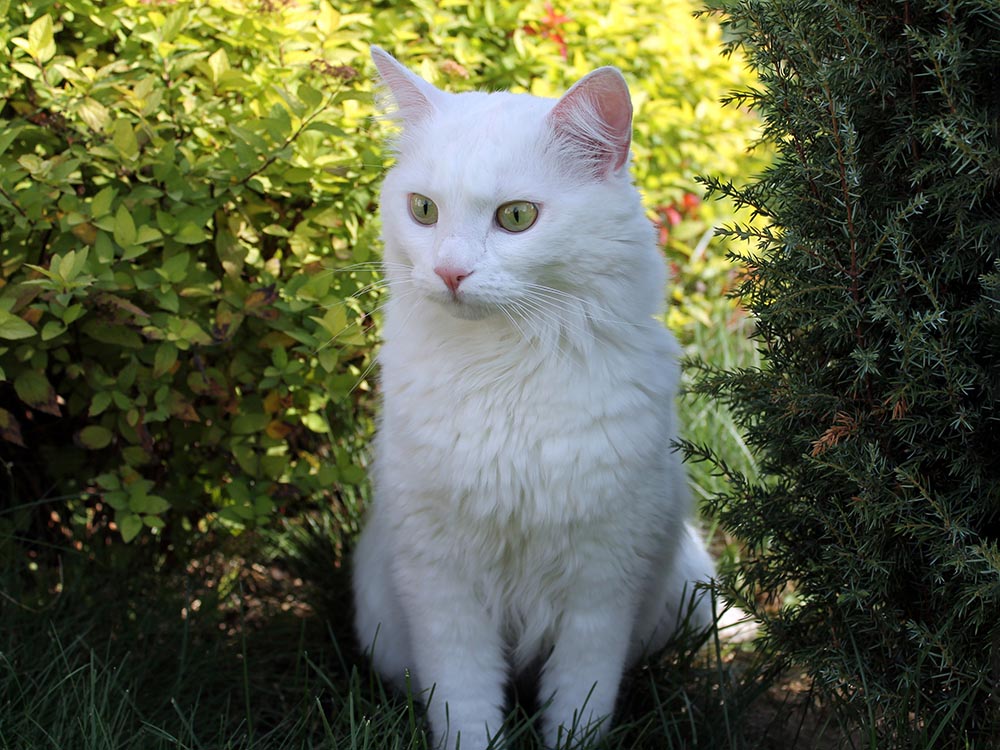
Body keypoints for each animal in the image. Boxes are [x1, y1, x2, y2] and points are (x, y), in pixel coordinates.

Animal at [352, 47, 720, 750]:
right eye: (423, 210)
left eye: (517, 217)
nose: (449, 272)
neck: (505, 368)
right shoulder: (440, 581)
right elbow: (465, 702)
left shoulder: (603, 584)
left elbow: (580, 702)